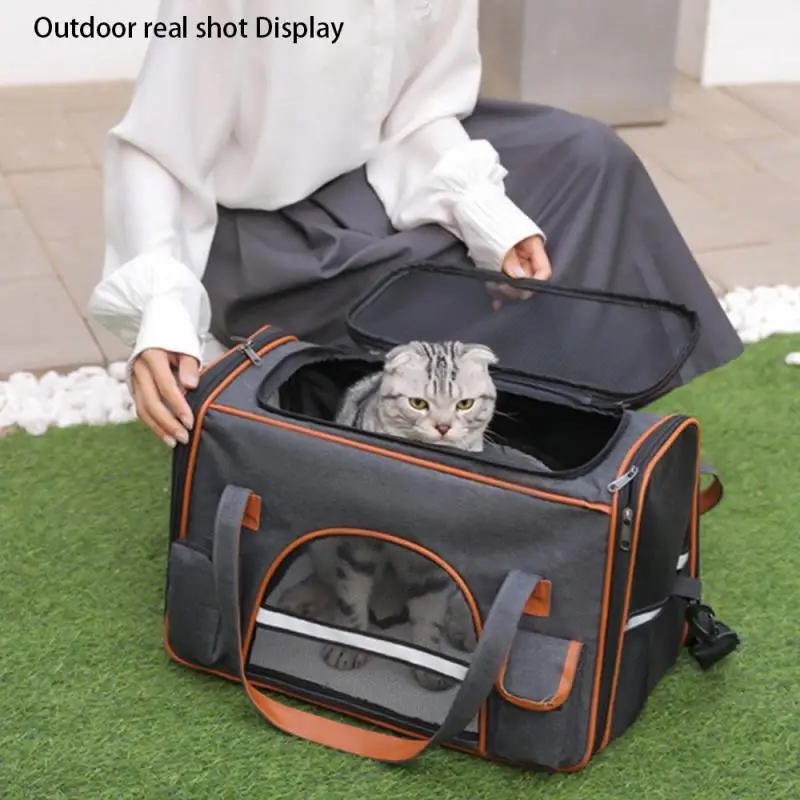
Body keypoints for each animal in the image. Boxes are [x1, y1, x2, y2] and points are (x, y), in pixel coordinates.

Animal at [277, 340, 498, 691]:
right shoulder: (358, 544)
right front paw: (347, 646)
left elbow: (430, 613)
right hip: (322, 546)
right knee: (326, 579)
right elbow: (351, 597)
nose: (444, 427)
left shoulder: (434, 566)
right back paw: (301, 598)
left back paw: (463, 629)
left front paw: (431, 663)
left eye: (465, 404)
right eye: (418, 403)